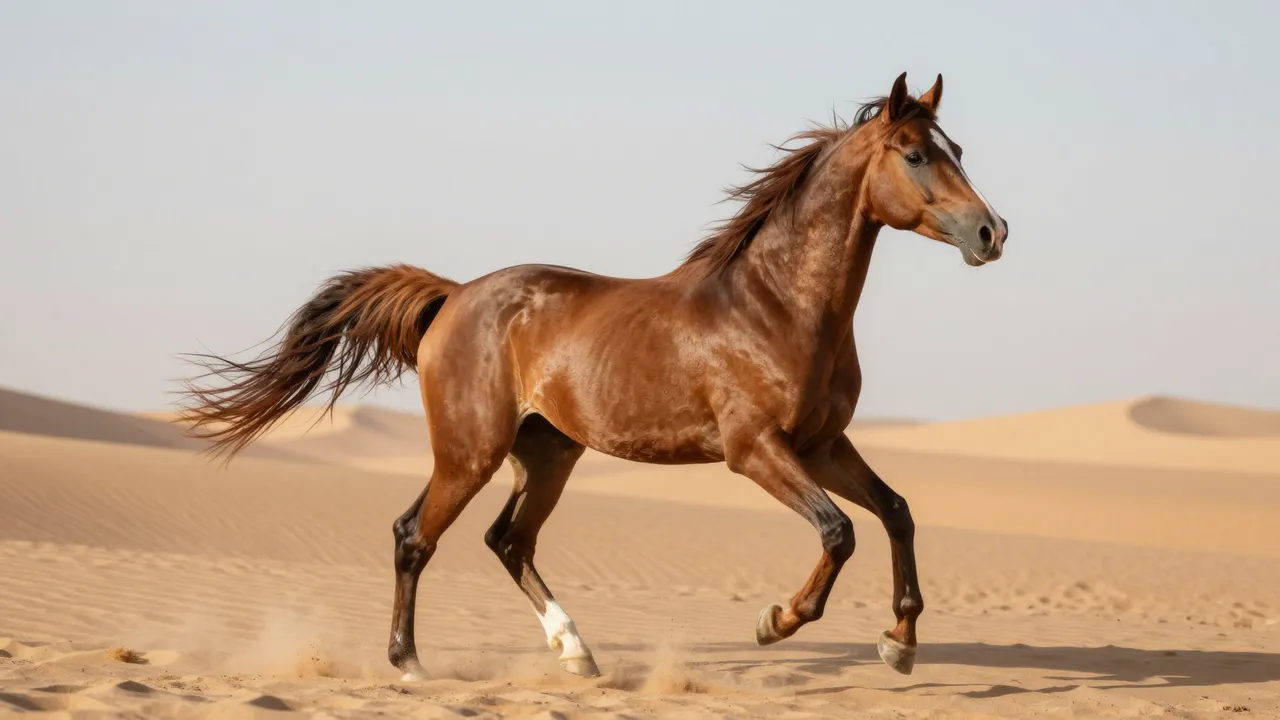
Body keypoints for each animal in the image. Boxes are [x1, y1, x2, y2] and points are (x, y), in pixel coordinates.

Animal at [179, 72, 1007, 681]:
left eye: (957, 146)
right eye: (914, 154)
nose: (992, 231)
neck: (777, 306)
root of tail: (455, 295)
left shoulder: (823, 444)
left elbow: (895, 512)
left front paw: (900, 642)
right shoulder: (755, 451)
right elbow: (839, 531)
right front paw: (776, 622)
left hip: (548, 452)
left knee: (508, 541)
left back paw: (576, 653)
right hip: (470, 452)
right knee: (415, 535)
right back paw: (410, 664)